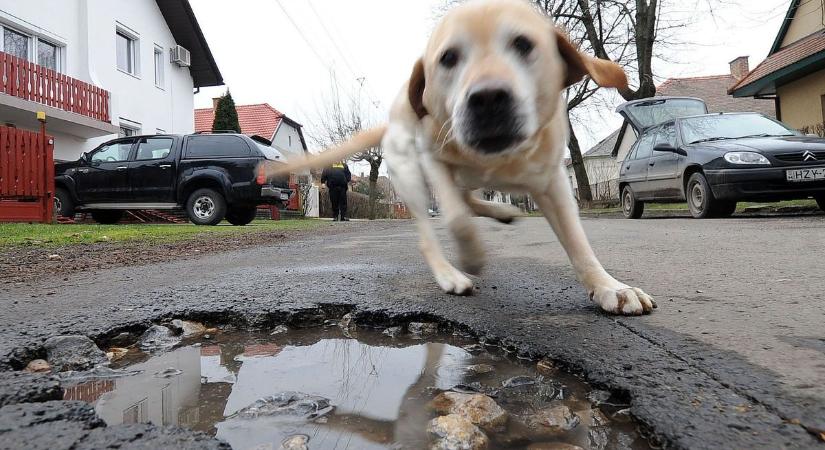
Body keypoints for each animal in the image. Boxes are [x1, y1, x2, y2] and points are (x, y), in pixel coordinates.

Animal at [268, 0, 652, 314]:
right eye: (449, 58)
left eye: (523, 44)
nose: (488, 98)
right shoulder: (433, 159)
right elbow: (456, 219)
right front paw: (471, 257)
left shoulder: (553, 180)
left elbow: (578, 241)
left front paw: (610, 287)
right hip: (410, 173)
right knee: (433, 229)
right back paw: (450, 273)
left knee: (469, 198)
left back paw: (501, 211)